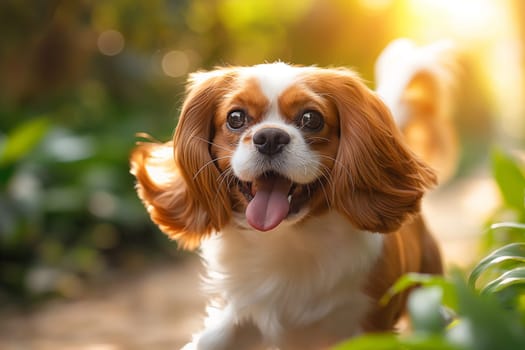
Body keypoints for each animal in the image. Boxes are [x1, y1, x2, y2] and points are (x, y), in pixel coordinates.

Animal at [129, 56, 444, 348]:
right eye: (235, 118)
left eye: (311, 119)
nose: (270, 137)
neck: (287, 237)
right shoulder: (241, 314)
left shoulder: (368, 325)